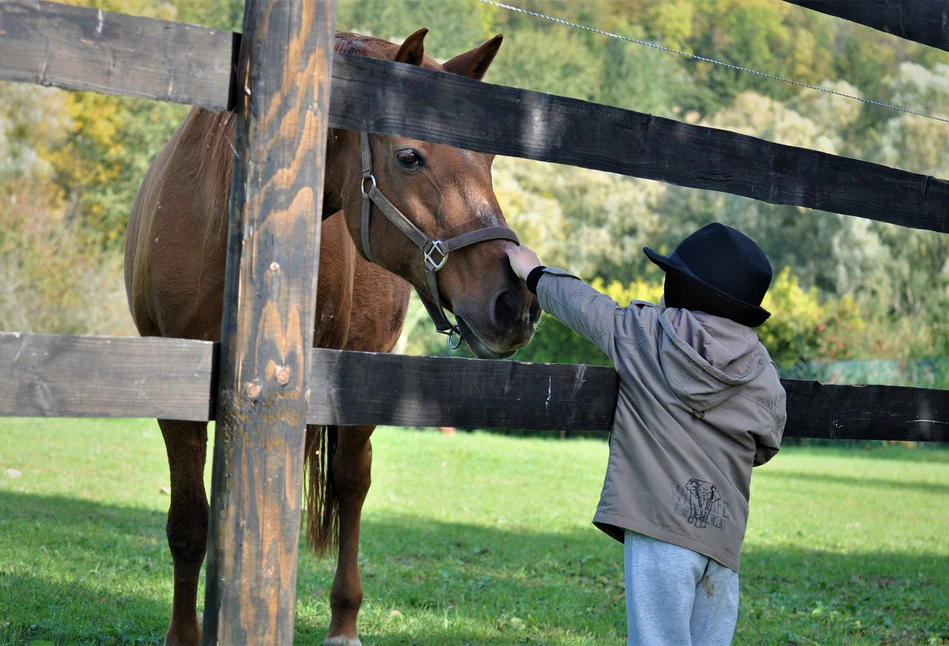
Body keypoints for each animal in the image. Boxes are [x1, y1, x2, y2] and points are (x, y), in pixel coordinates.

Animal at [124, 27, 540, 644]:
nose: (514, 303)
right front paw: (185, 635)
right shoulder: (176, 392)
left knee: (350, 484)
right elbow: (189, 523)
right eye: (409, 156)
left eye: (487, 159)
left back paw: (343, 620)